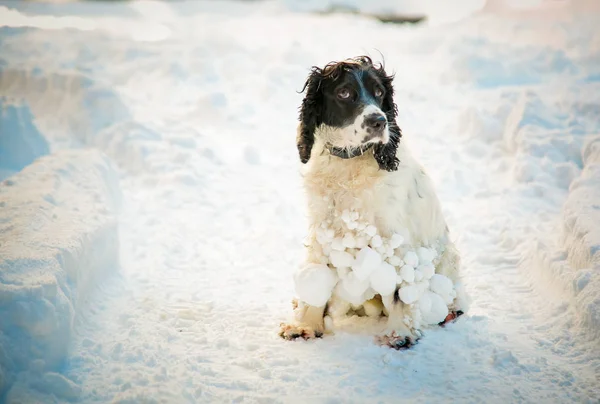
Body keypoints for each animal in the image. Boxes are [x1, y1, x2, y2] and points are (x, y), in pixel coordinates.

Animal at [278, 55, 466, 348]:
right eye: (344, 93)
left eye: (379, 93)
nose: (379, 121)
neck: (348, 163)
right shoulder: (324, 228)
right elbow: (317, 276)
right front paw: (305, 325)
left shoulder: (394, 239)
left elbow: (401, 291)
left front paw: (399, 333)